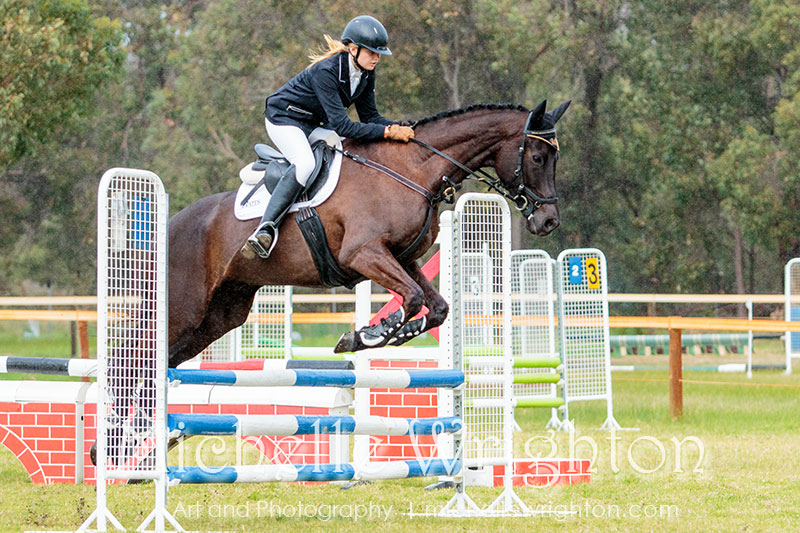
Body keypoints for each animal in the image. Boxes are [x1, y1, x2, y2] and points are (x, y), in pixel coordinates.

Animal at [167, 98, 568, 366]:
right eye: (537, 158)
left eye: (555, 159)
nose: (549, 221)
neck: (412, 170)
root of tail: (171, 223)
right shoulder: (363, 253)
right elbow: (412, 298)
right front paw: (370, 334)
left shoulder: (403, 258)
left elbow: (436, 307)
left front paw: (384, 334)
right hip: (185, 311)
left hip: (221, 314)